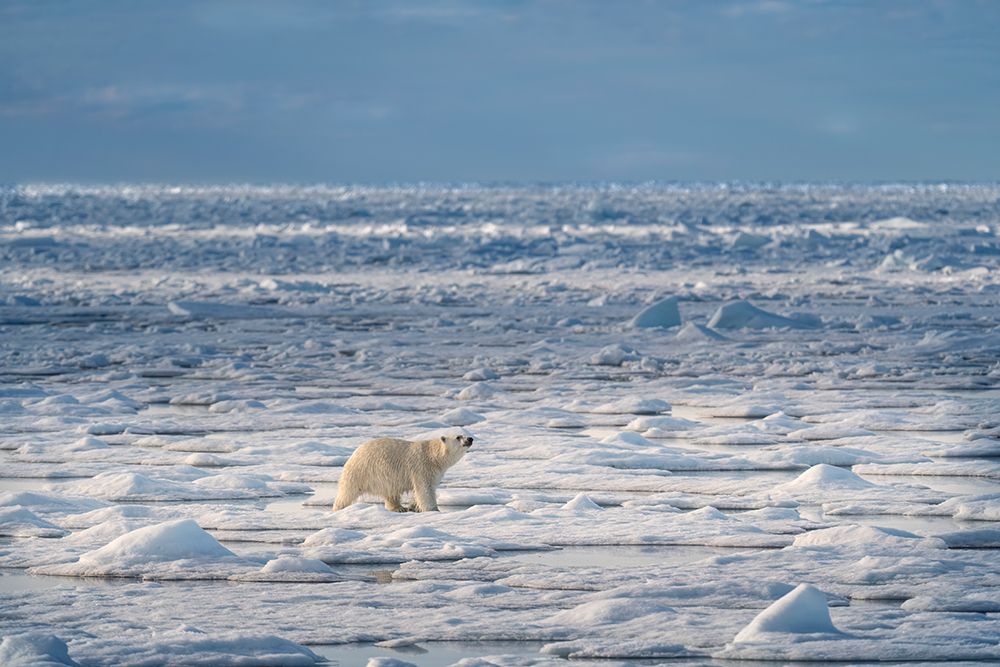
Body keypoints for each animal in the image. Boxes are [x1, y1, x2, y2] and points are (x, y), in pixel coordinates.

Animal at [332, 433, 473, 512]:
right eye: (458, 437)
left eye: (464, 433)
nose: (470, 439)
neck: (433, 456)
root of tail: (353, 455)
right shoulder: (421, 467)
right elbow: (424, 489)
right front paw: (434, 509)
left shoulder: (434, 472)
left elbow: (425, 488)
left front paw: (413, 506)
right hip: (363, 472)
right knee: (347, 493)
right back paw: (338, 508)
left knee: (391, 493)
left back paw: (399, 508)